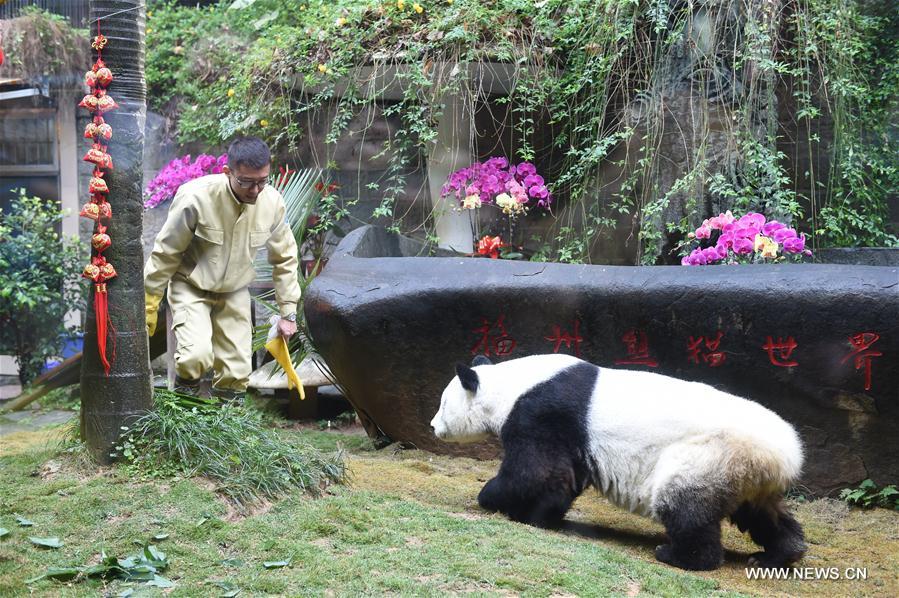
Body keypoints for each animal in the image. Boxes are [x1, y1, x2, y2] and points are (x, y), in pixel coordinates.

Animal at [428, 354, 808, 576]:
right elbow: (561, 479)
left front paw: (494, 499)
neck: (511, 386)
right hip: (747, 473)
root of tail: (787, 454)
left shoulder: (543, 413)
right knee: (761, 513)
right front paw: (542, 514)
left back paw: (680, 555)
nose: (432, 427)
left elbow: (534, 471)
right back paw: (778, 554)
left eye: (443, 403)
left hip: (710, 454)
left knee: (683, 503)